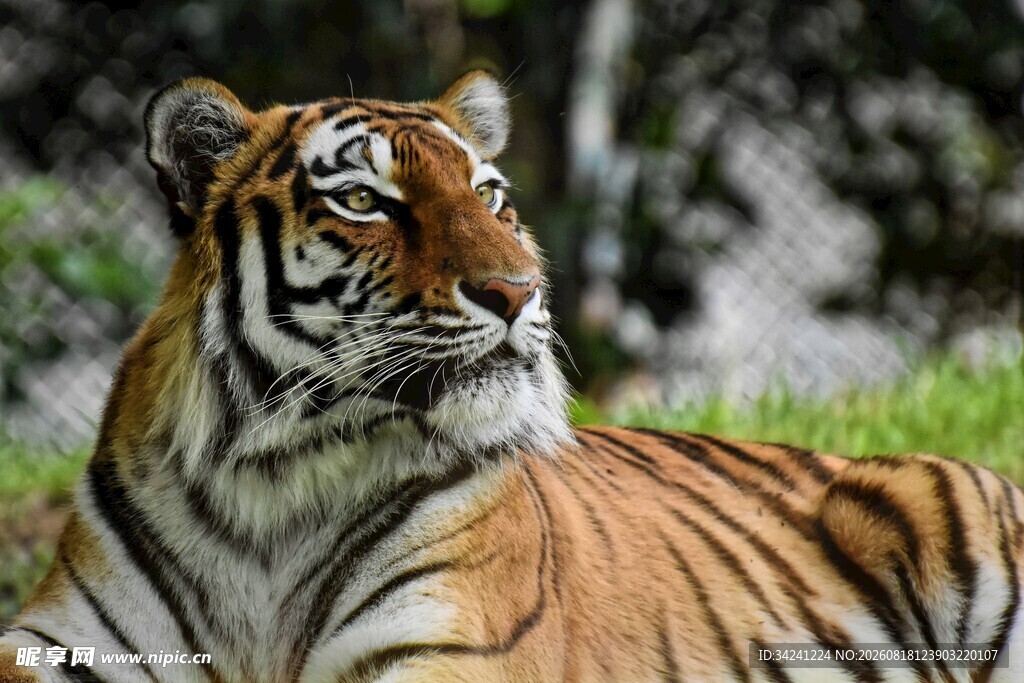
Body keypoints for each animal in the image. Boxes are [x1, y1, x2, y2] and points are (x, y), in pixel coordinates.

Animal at [0, 70, 1021, 683]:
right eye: (364, 200)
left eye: (489, 195)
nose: (517, 289)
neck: (274, 484)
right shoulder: (57, 639)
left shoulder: (445, 649)